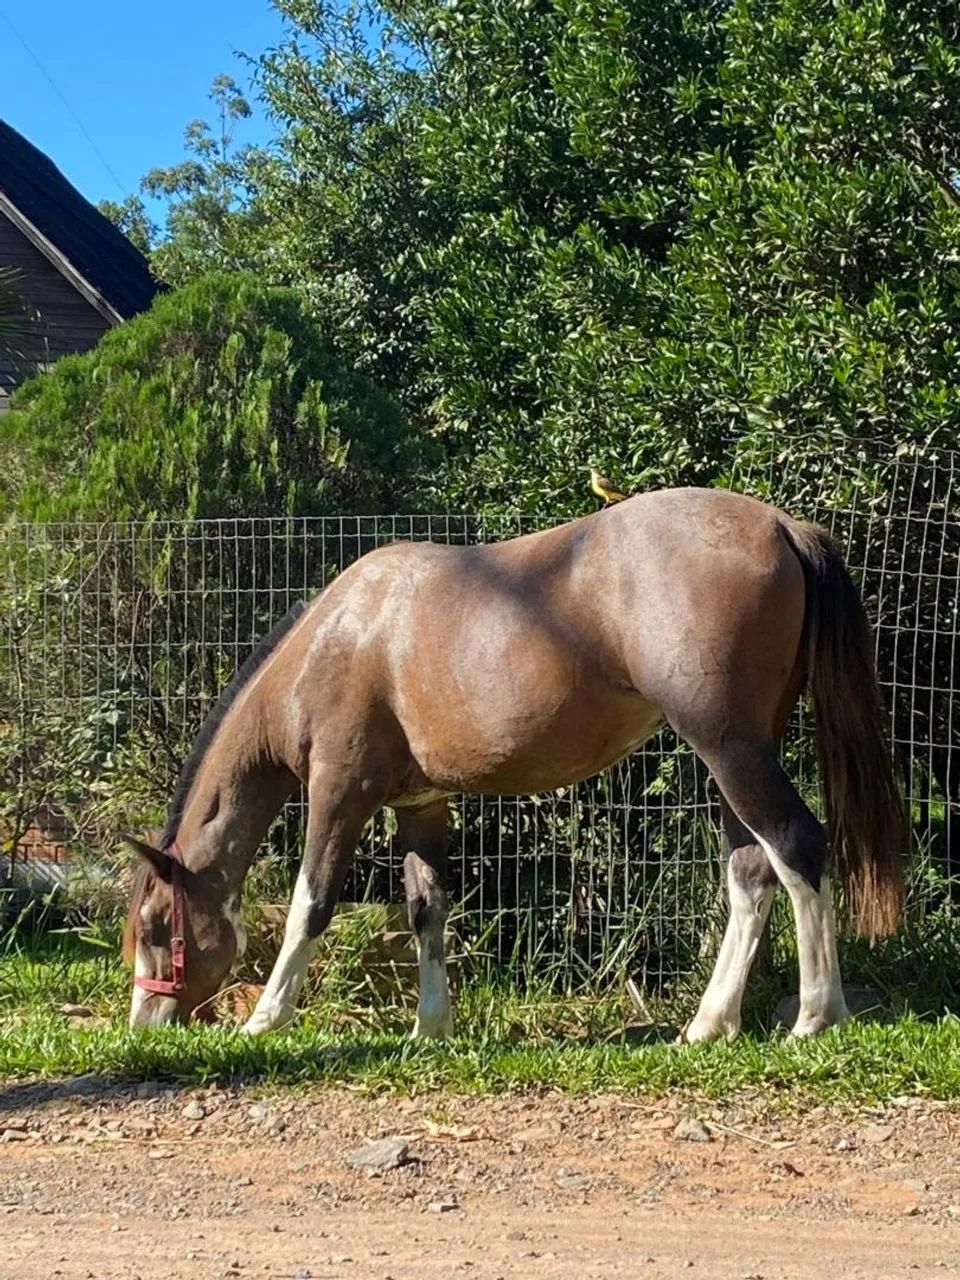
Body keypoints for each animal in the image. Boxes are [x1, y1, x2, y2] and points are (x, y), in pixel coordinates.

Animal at [123, 487, 905, 1041]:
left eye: (159, 927)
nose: (145, 1025)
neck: (343, 636)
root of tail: (780, 525)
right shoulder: (421, 805)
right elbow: (426, 909)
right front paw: (429, 1029)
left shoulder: (339, 793)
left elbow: (309, 905)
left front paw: (266, 1018)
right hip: (737, 757)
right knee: (750, 873)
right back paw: (710, 1025)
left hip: (729, 748)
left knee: (798, 849)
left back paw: (815, 1016)